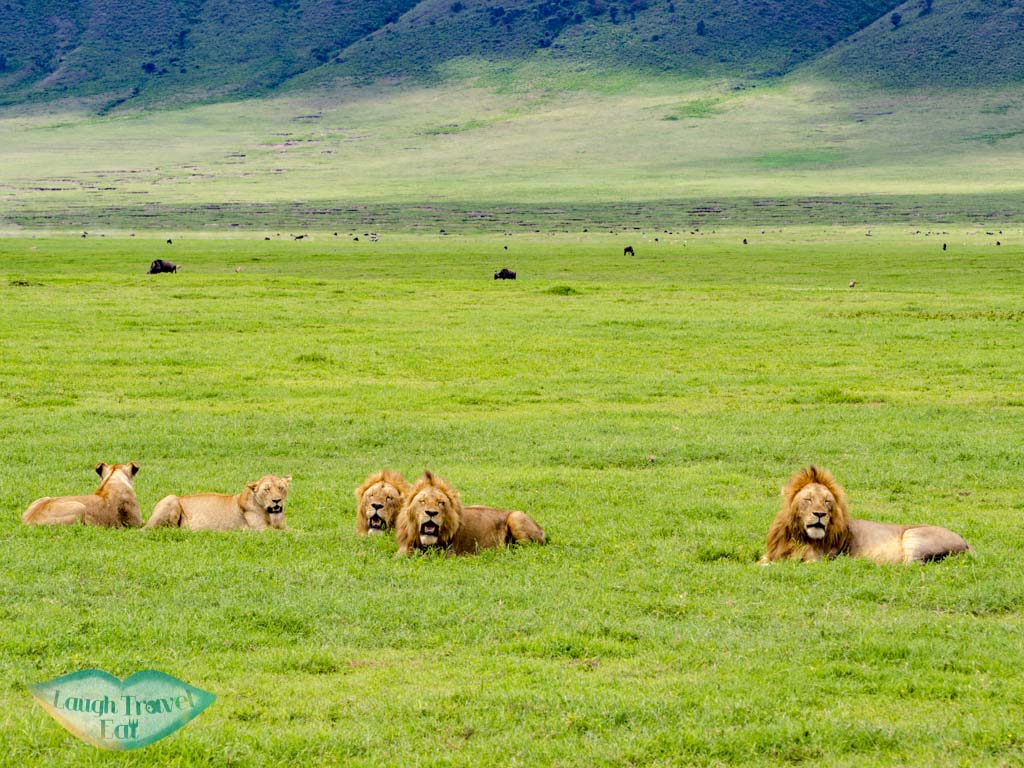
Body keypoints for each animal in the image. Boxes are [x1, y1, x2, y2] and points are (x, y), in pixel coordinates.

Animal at [145, 474, 292, 531]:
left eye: (281, 488)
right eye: (266, 489)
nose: (276, 500)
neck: (272, 516)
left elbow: (294, 530)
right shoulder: (260, 530)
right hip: (171, 498)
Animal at [760, 466, 972, 564]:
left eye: (827, 501)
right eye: (808, 499)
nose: (820, 514)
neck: (799, 537)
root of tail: (966, 542)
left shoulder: (819, 560)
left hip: (914, 536)